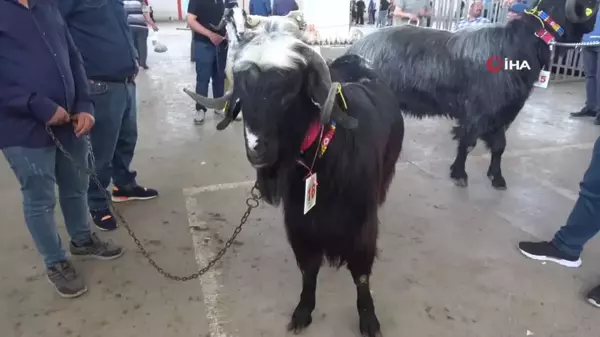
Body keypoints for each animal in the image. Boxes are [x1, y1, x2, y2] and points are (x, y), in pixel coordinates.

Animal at [185, 32, 406, 336]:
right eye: (242, 92)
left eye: (288, 92)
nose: (257, 150)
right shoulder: (300, 224)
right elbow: (309, 271)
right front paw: (303, 312)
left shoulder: (362, 225)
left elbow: (361, 274)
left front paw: (369, 319)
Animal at [344, 0, 596, 189]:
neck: (519, 45)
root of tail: (354, 48)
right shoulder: (479, 111)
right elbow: (467, 142)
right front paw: (459, 174)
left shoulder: (502, 113)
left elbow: (499, 146)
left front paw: (497, 177)